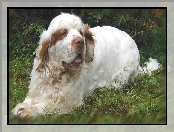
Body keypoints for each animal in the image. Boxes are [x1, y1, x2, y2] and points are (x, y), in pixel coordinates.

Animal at [11, 13, 160, 118]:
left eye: (80, 32)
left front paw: (26, 111)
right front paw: (20, 107)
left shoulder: (69, 101)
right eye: (63, 33)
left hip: (122, 75)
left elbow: (43, 106)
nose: (80, 41)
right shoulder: (37, 90)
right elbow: (28, 101)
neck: (57, 74)